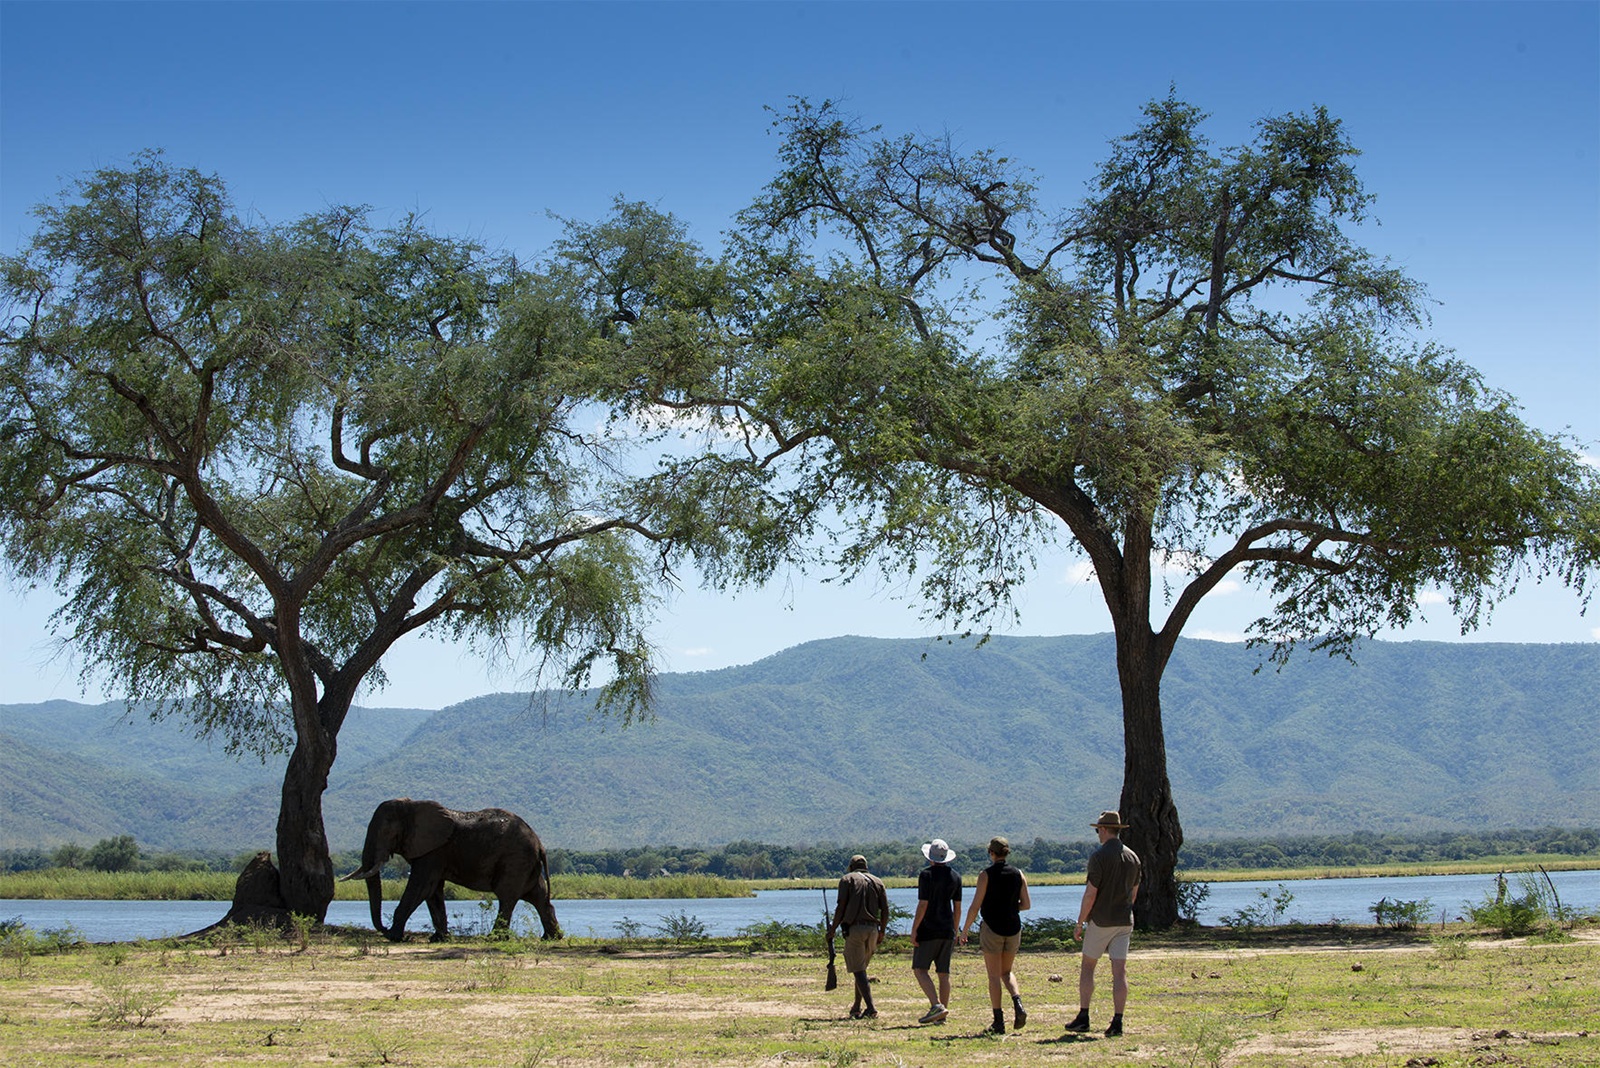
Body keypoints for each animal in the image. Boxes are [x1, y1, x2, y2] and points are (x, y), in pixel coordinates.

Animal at [342, 798, 562, 941]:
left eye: (386, 832)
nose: (384, 929)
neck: (412, 804)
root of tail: (539, 844)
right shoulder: (433, 852)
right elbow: (433, 891)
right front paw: (438, 939)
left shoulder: (434, 851)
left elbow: (421, 887)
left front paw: (394, 937)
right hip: (526, 862)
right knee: (538, 896)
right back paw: (551, 937)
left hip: (515, 859)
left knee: (507, 897)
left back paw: (495, 938)